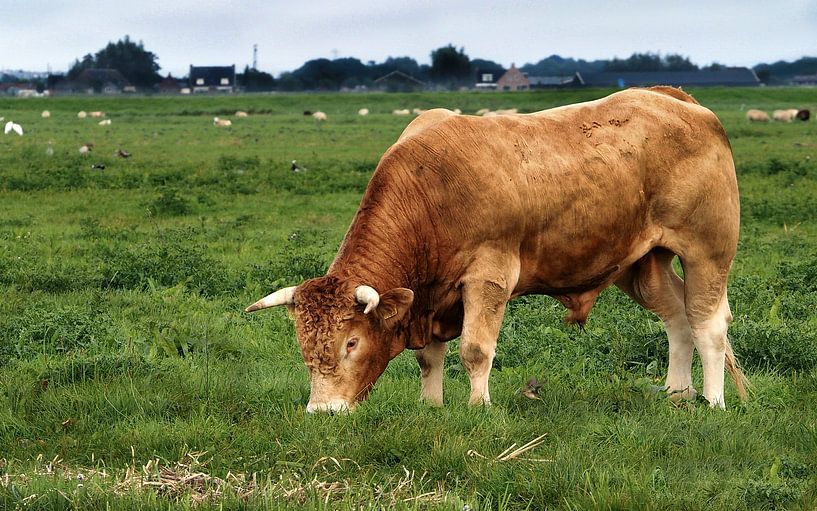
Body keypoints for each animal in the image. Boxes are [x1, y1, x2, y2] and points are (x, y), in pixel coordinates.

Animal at [245, 88, 744, 414]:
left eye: (351, 342)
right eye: (303, 343)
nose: (322, 412)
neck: (431, 191)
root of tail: (673, 97)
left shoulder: (488, 278)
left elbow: (475, 349)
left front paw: (478, 406)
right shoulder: (430, 296)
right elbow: (428, 357)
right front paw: (431, 405)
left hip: (707, 250)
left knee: (707, 322)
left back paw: (713, 401)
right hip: (641, 263)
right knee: (676, 317)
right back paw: (677, 393)